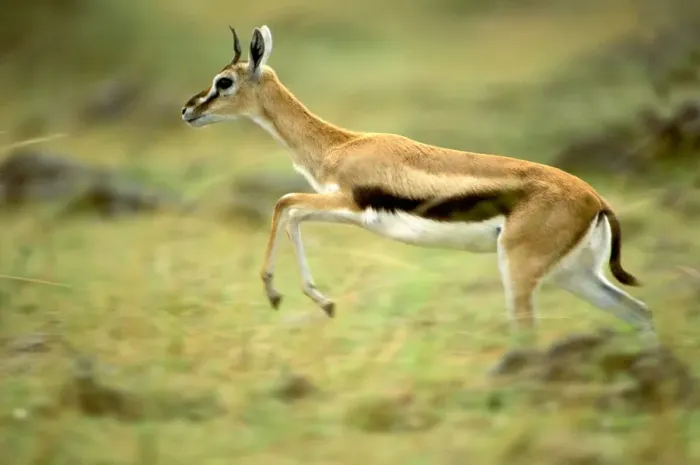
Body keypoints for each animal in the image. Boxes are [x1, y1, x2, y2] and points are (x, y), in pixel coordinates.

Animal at [181, 25, 655, 341]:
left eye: (224, 81)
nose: (188, 110)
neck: (343, 145)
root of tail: (596, 199)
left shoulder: (348, 205)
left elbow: (285, 203)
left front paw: (285, 295)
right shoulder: (344, 210)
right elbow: (292, 212)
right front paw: (321, 301)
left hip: (521, 271)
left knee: (528, 331)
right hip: (574, 275)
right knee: (640, 313)